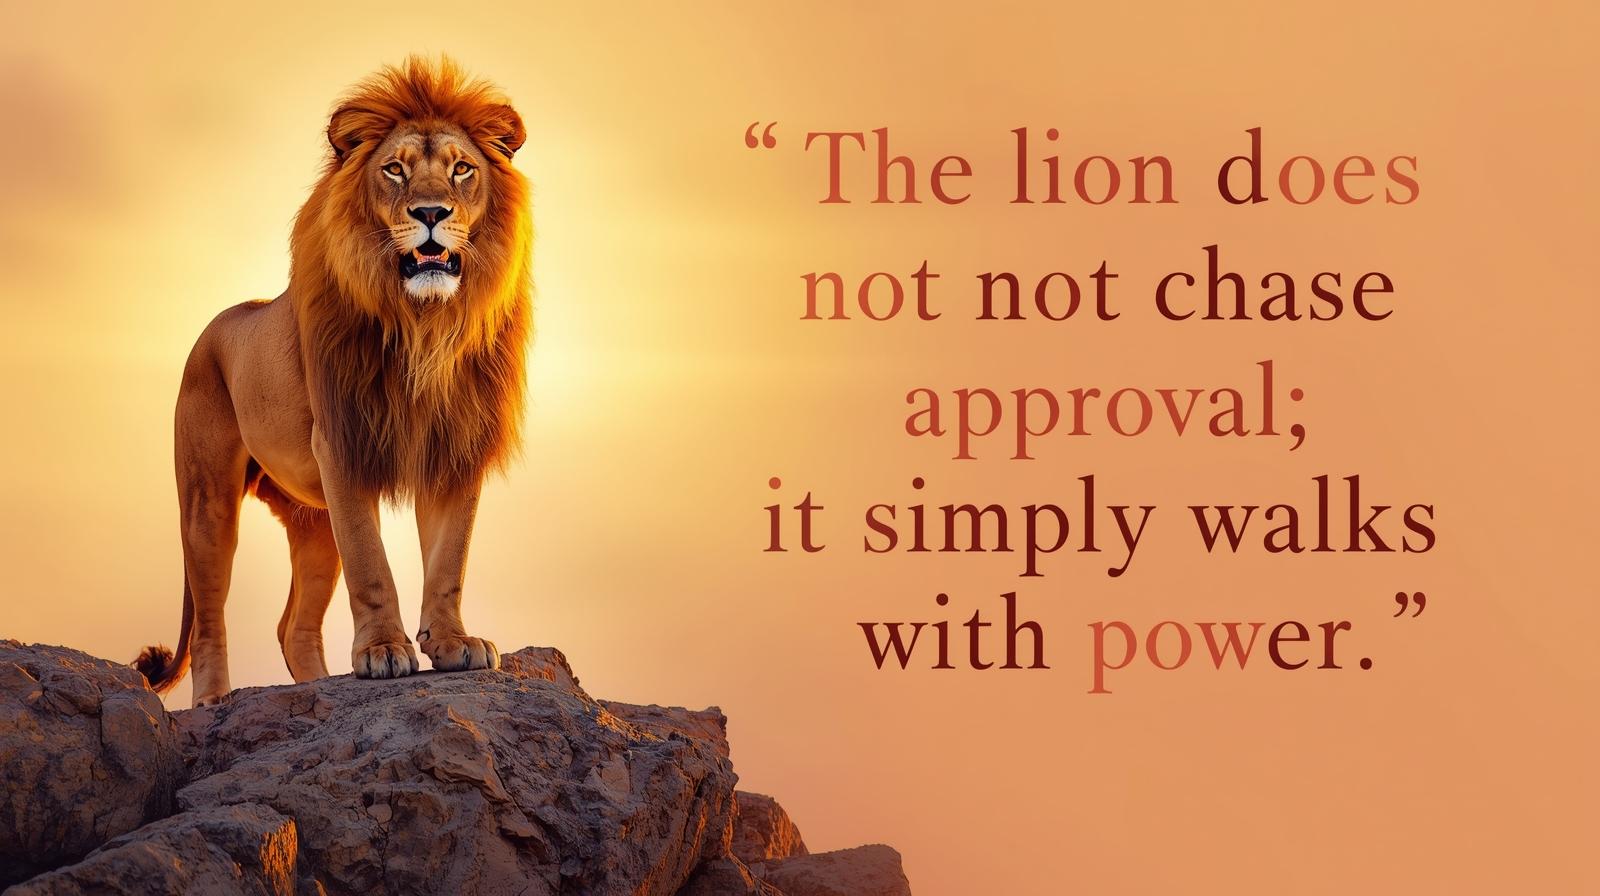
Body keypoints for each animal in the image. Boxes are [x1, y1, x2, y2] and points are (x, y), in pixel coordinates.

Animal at [133, 57, 533, 707]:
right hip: (207, 502)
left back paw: (317, 687)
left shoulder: (454, 446)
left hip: (312, 519)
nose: (430, 214)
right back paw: (215, 701)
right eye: (395, 169)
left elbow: (450, 559)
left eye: (462, 169)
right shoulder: (344, 444)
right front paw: (383, 652)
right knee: (213, 616)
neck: (424, 323)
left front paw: (453, 644)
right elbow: (372, 564)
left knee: (292, 626)